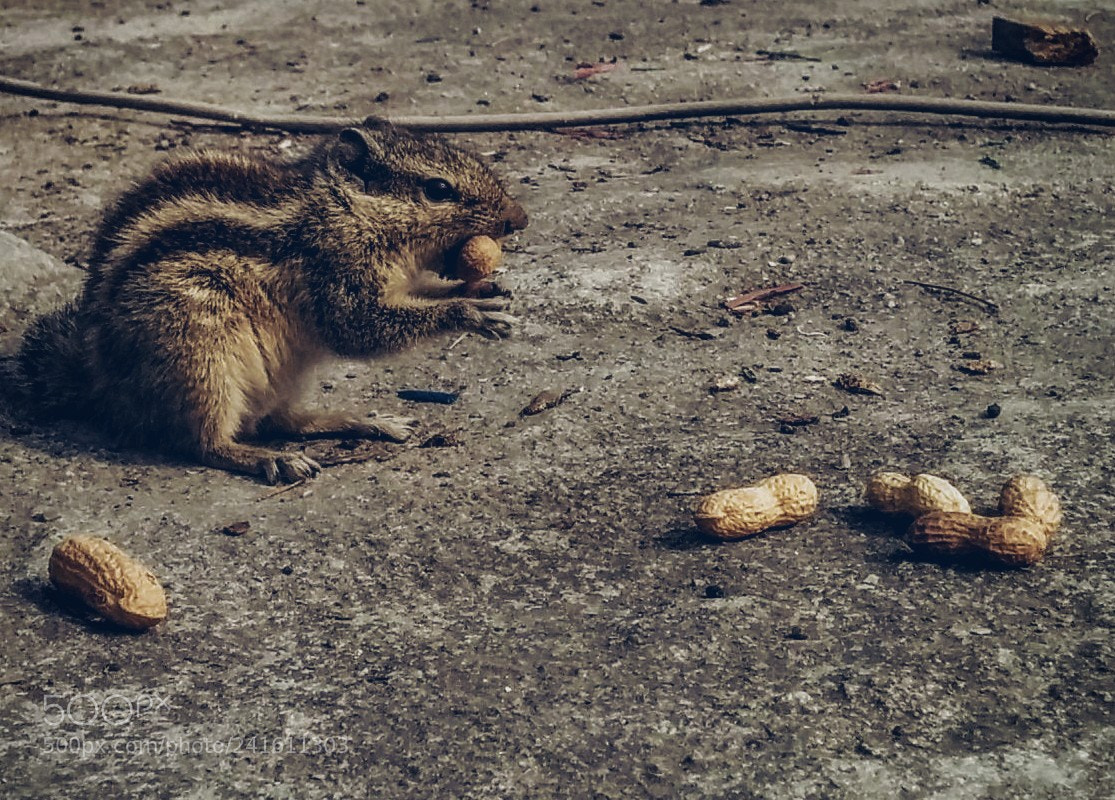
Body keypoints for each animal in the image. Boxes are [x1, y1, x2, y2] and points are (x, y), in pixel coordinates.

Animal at [14, 121, 528, 483]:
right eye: (439, 189)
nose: (520, 218)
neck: (346, 210)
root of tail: (101, 381)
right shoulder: (336, 273)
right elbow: (360, 328)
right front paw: (467, 312)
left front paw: (482, 290)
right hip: (198, 356)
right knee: (202, 442)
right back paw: (269, 461)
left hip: (280, 372)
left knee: (282, 420)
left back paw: (362, 419)